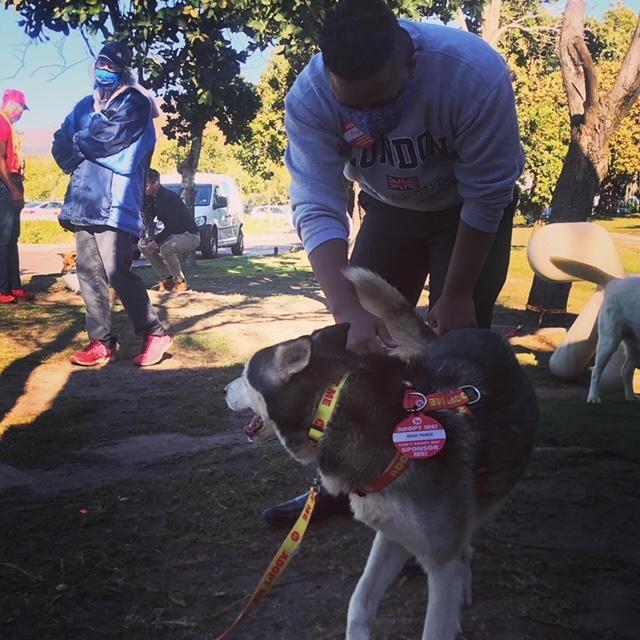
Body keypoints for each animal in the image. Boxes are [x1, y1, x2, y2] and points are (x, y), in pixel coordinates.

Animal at [228, 266, 536, 640]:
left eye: (244, 375)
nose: (224, 389)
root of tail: (474, 334)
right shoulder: (390, 534)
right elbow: (360, 601)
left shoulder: (440, 563)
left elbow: (436, 620)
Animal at [552, 258, 640, 402]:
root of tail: (614, 282)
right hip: (608, 342)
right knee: (596, 371)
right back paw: (593, 397)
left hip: (634, 348)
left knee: (626, 371)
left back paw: (630, 397)